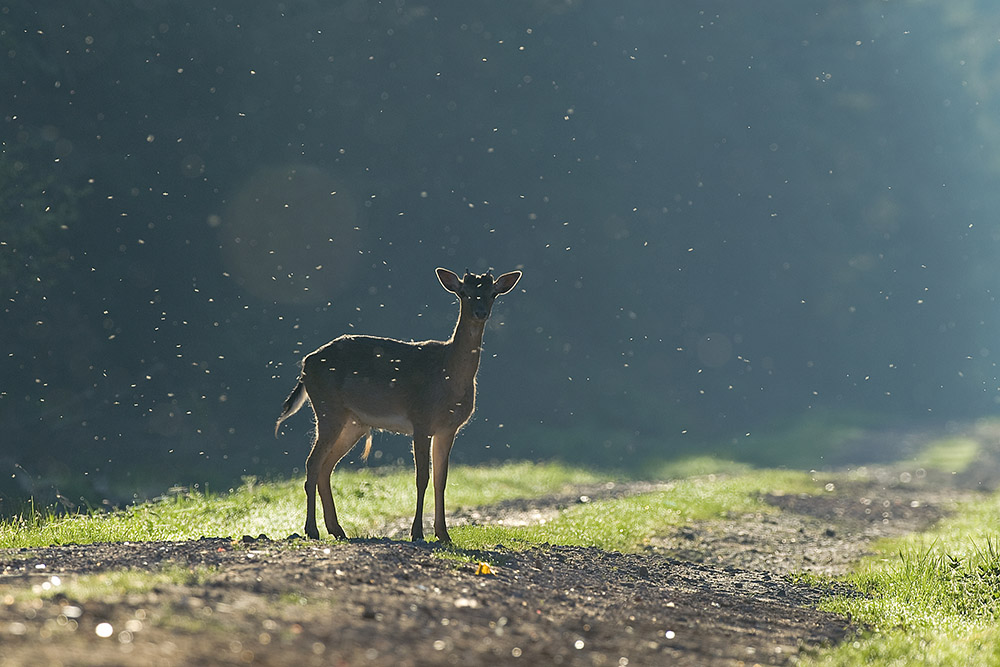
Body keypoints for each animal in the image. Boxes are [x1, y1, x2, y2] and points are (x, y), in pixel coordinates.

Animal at [276, 266, 524, 544]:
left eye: (492, 293)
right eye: (464, 292)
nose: (481, 312)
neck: (448, 375)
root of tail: (306, 364)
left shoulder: (448, 429)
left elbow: (441, 480)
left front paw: (443, 534)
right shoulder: (421, 419)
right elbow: (422, 478)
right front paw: (417, 533)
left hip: (353, 423)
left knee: (325, 467)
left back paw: (337, 529)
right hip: (328, 409)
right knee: (312, 463)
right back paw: (312, 529)